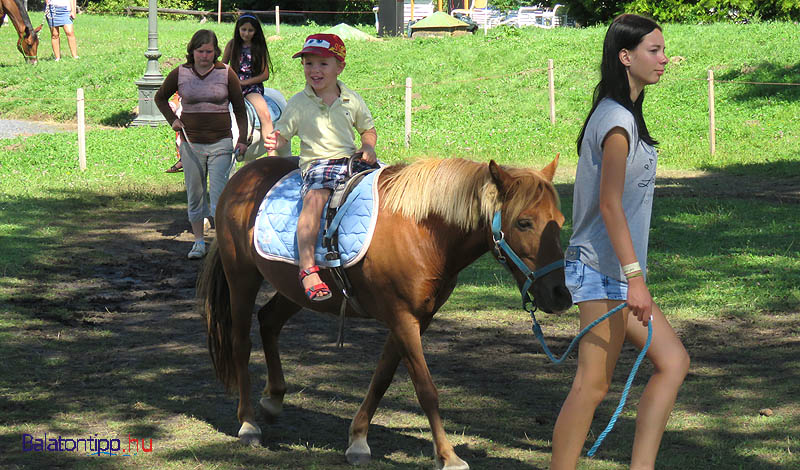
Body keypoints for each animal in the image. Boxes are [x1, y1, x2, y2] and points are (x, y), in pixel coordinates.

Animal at [200, 155, 576, 470]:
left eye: (559, 221)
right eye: (524, 223)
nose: (561, 294)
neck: (424, 232)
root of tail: (244, 176)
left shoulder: (415, 319)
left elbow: (382, 377)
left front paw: (358, 440)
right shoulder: (402, 318)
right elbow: (426, 389)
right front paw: (448, 456)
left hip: (297, 291)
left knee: (269, 322)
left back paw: (274, 398)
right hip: (242, 278)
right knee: (240, 344)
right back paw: (248, 423)